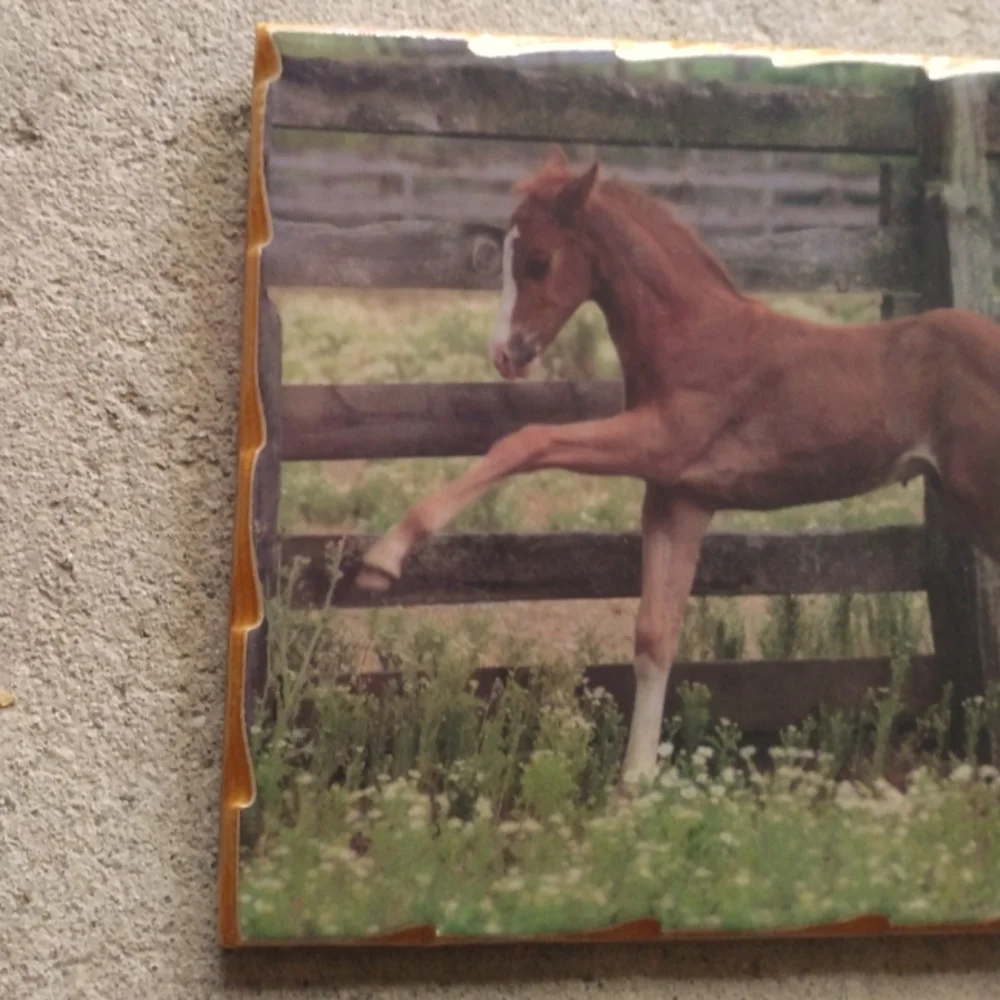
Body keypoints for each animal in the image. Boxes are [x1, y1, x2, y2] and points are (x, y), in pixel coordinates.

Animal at [354, 145, 1000, 784]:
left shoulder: (661, 441)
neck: (692, 333)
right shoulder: (677, 498)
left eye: (538, 261)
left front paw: (384, 557)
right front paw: (636, 783)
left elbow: (528, 440)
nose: (504, 356)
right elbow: (655, 636)